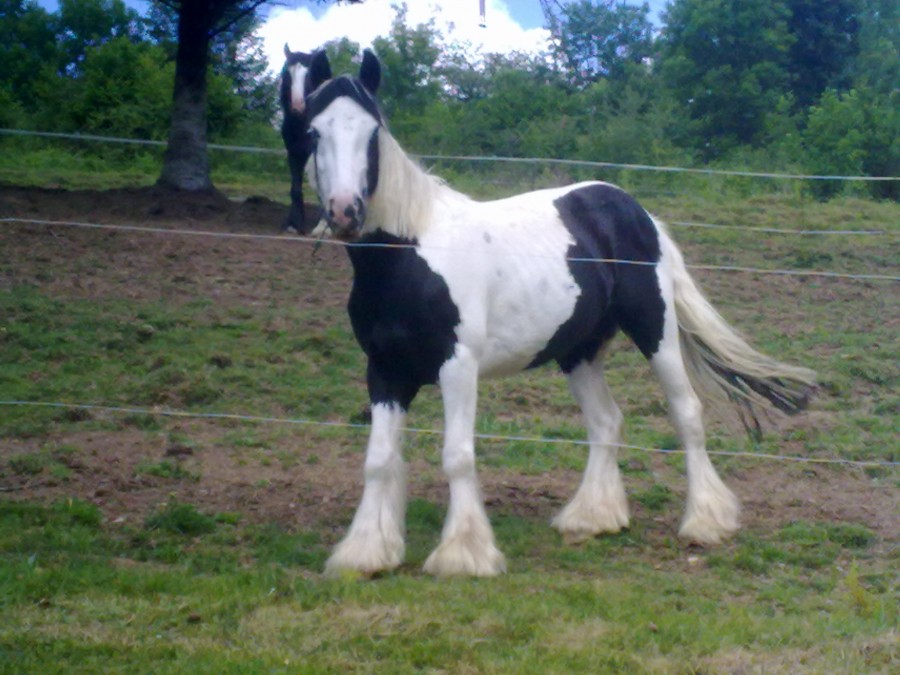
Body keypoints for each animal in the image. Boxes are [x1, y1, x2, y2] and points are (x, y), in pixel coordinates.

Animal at [279, 44, 331, 233]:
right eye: (286, 73)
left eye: (309, 75)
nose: (297, 106)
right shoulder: (293, 153)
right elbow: (295, 188)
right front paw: (294, 224)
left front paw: (323, 227)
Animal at [302, 50, 816, 577]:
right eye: (314, 131)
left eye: (373, 132)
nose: (344, 211)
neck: (409, 256)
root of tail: (639, 214)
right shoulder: (385, 371)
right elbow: (379, 460)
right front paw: (366, 552)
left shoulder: (458, 366)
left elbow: (457, 455)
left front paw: (464, 555)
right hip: (579, 351)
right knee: (607, 422)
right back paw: (593, 518)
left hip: (654, 328)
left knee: (687, 413)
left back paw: (704, 522)